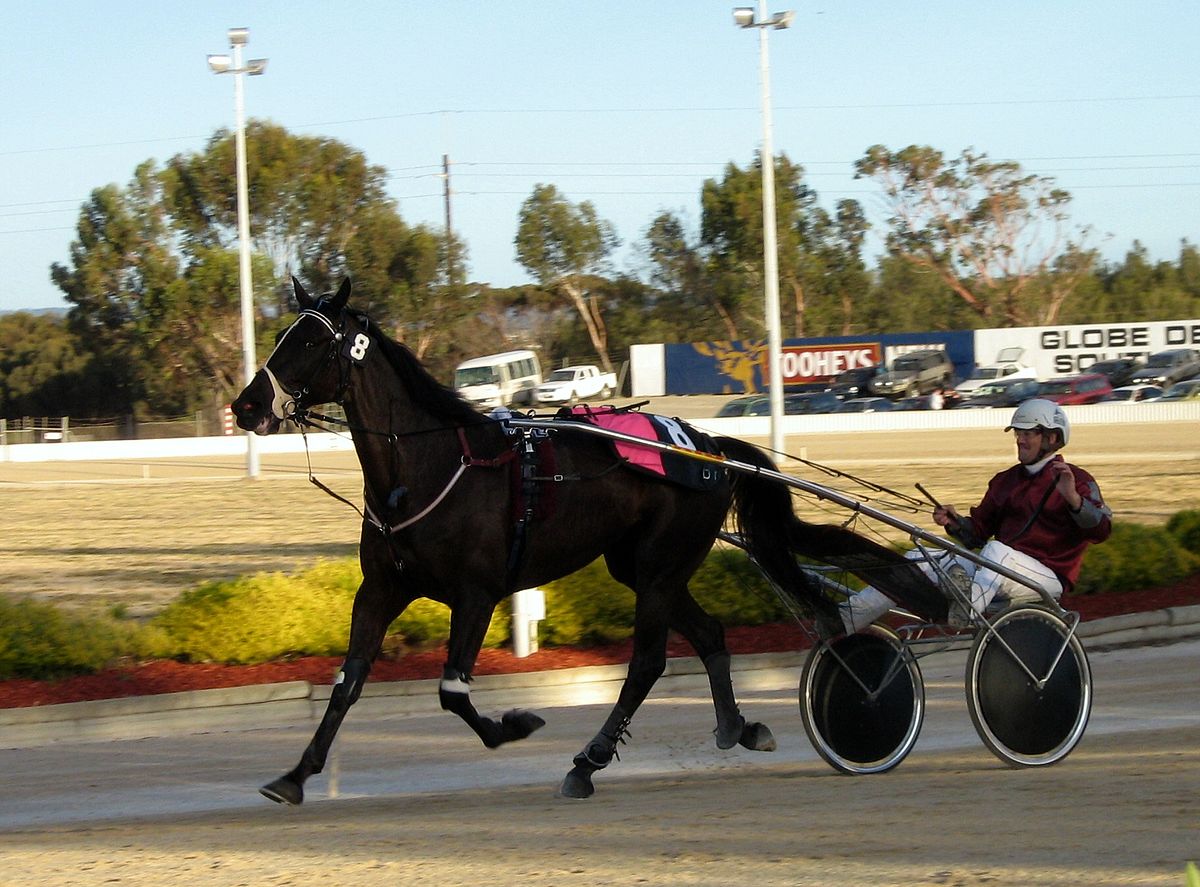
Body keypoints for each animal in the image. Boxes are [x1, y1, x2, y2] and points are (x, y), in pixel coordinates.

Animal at [234, 279, 940, 806]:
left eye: (309, 341)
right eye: (283, 335)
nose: (245, 406)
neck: (427, 468)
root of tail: (706, 446)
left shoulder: (476, 593)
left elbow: (452, 690)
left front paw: (513, 726)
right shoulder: (382, 588)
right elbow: (347, 684)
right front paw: (294, 776)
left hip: (659, 566)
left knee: (648, 662)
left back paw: (589, 759)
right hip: (643, 567)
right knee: (709, 634)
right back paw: (739, 725)